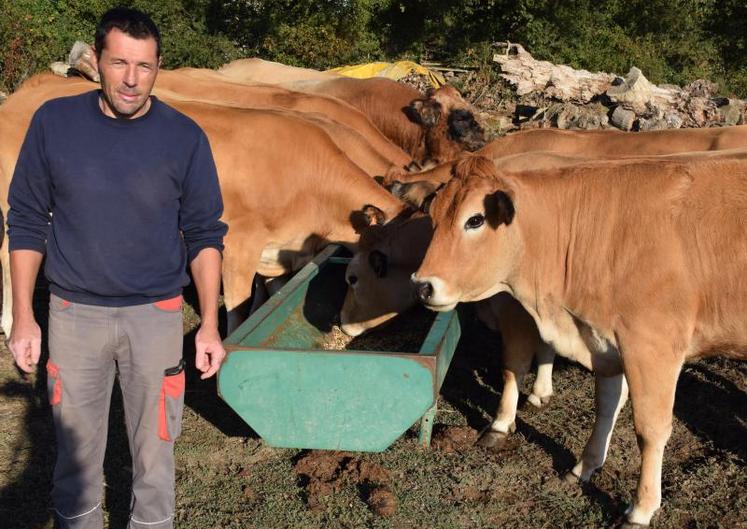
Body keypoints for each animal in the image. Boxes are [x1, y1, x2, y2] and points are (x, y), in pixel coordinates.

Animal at [412, 153, 747, 524]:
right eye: (433, 215)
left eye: (475, 219)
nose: (423, 285)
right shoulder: (604, 343)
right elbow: (606, 407)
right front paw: (584, 467)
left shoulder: (652, 347)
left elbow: (650, 429)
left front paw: (641, 509)